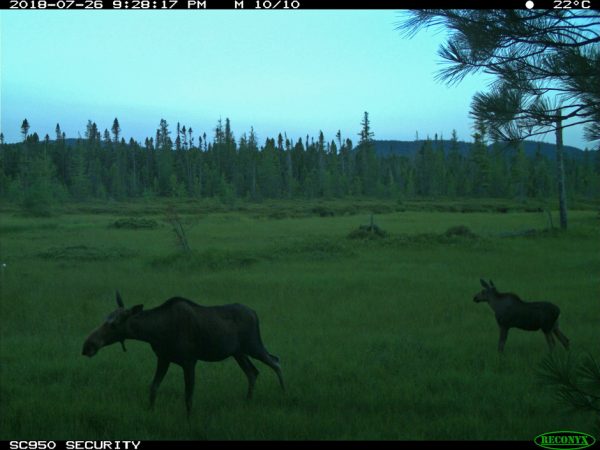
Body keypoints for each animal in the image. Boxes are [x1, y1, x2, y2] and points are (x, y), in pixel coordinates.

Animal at [82, 292, 286, 414]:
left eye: (114, 324)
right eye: (105, 319)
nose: (87, 346)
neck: (155, 333)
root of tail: (254, 313)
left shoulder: (189, 361)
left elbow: (188, 396)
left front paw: (189, 420)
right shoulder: (163, 358)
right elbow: (153, 388)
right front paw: (150, 411)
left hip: (253, 345)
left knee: (275, 361)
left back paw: (283, 392)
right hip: (238, 352)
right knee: (253, 372)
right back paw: (248, 401)